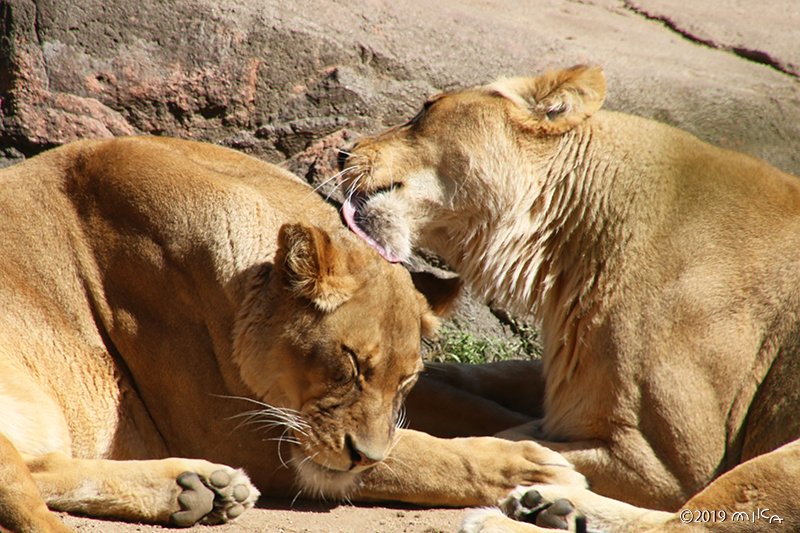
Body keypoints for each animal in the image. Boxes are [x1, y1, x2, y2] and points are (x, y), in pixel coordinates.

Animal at [0, 134, 584, 532]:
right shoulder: (237, 435)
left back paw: (198, 490)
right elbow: (415, 456)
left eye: (405, 381)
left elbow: (463, 408)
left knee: (44, 467)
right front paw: (538, 471)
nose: (362, 455)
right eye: (349, 363)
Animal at [340, 64, 800, 528]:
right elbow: (489, 376)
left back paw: (520, 511)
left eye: (426, 109)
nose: (343, 152)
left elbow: (507, 435)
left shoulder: (665, 466)